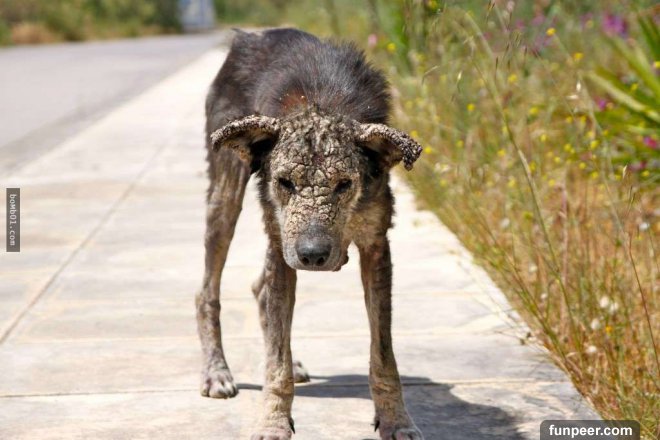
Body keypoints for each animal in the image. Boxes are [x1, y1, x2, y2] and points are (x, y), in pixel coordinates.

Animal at [196, 28, 423, 440]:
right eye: (285, 182)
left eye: (344, 184)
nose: (313, 255)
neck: (322, 103)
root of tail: (247, 36)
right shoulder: (281, 243)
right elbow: (277, 366)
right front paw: (272, 422)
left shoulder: (376, 245)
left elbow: (384, 356)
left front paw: (396, 421)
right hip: (226, 196)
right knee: (207, 291)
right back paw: (216, 372)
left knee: (259, 289)